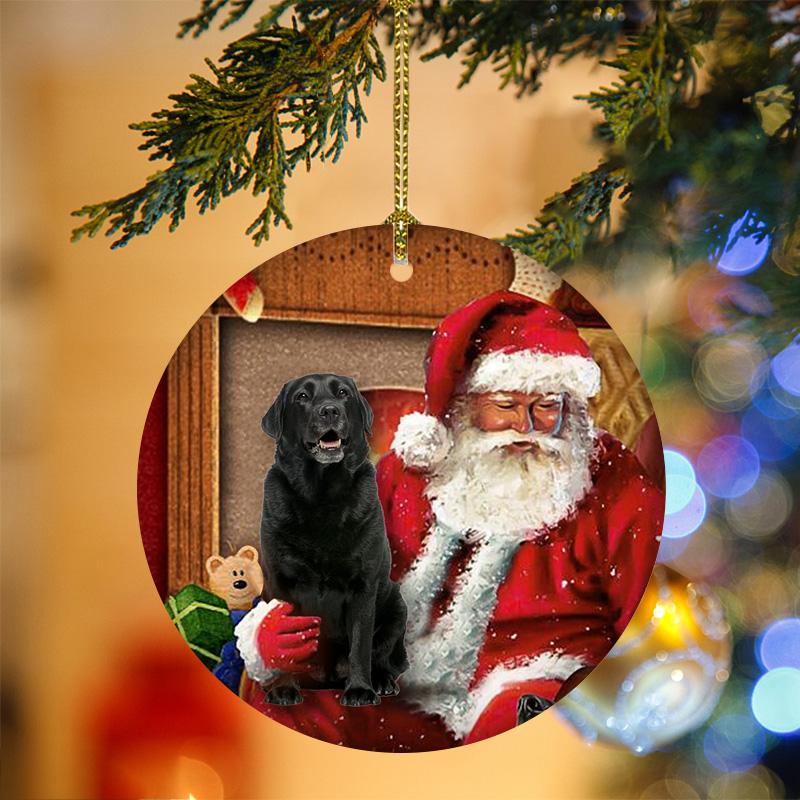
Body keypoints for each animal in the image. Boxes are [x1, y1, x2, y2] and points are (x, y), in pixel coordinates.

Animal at [258, 376, 406, 708]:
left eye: (343, 393)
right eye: (302, 397)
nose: (329, 411)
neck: (321, 495)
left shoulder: (363, 585)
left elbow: (360, 644)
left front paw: (360, 690)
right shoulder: (280, 583)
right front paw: (283, 689)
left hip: (395, 605)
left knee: (383, 655)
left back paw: (381, 682)